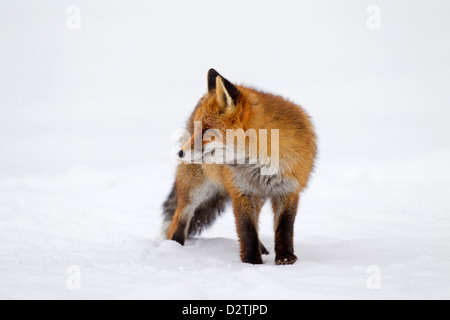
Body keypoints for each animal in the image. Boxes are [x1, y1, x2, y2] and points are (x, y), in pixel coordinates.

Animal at [163, 69, 316, 264]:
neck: (261, 163)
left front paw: (285, 259)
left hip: (258, 197)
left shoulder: (289, 190)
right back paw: (175, 248)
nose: (180, 153)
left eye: (206, 130)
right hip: (195, 189)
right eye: (198, 130)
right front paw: (252, 261)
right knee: (180, 217)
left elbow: (284, 228)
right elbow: (247, 230)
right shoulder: (241, 191)